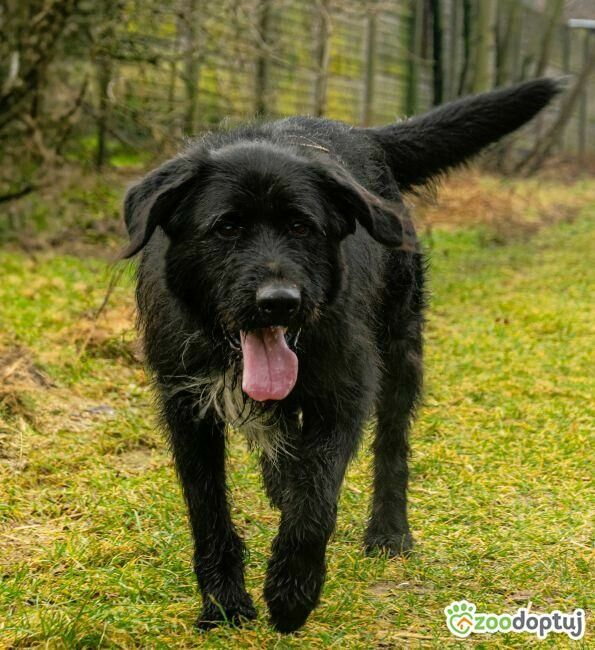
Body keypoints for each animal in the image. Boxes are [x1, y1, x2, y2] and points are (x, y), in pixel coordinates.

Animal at [122, 78, 559, 632]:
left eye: (301, 227)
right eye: (226, 228)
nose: (279, 302)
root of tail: (364, 136)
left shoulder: (344, 391)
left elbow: (315, 500)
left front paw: (292, 592)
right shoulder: (186, 406)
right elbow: (208, 509)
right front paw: (223, 604)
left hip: (401, 350)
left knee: (391, 445)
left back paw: (389, 530)